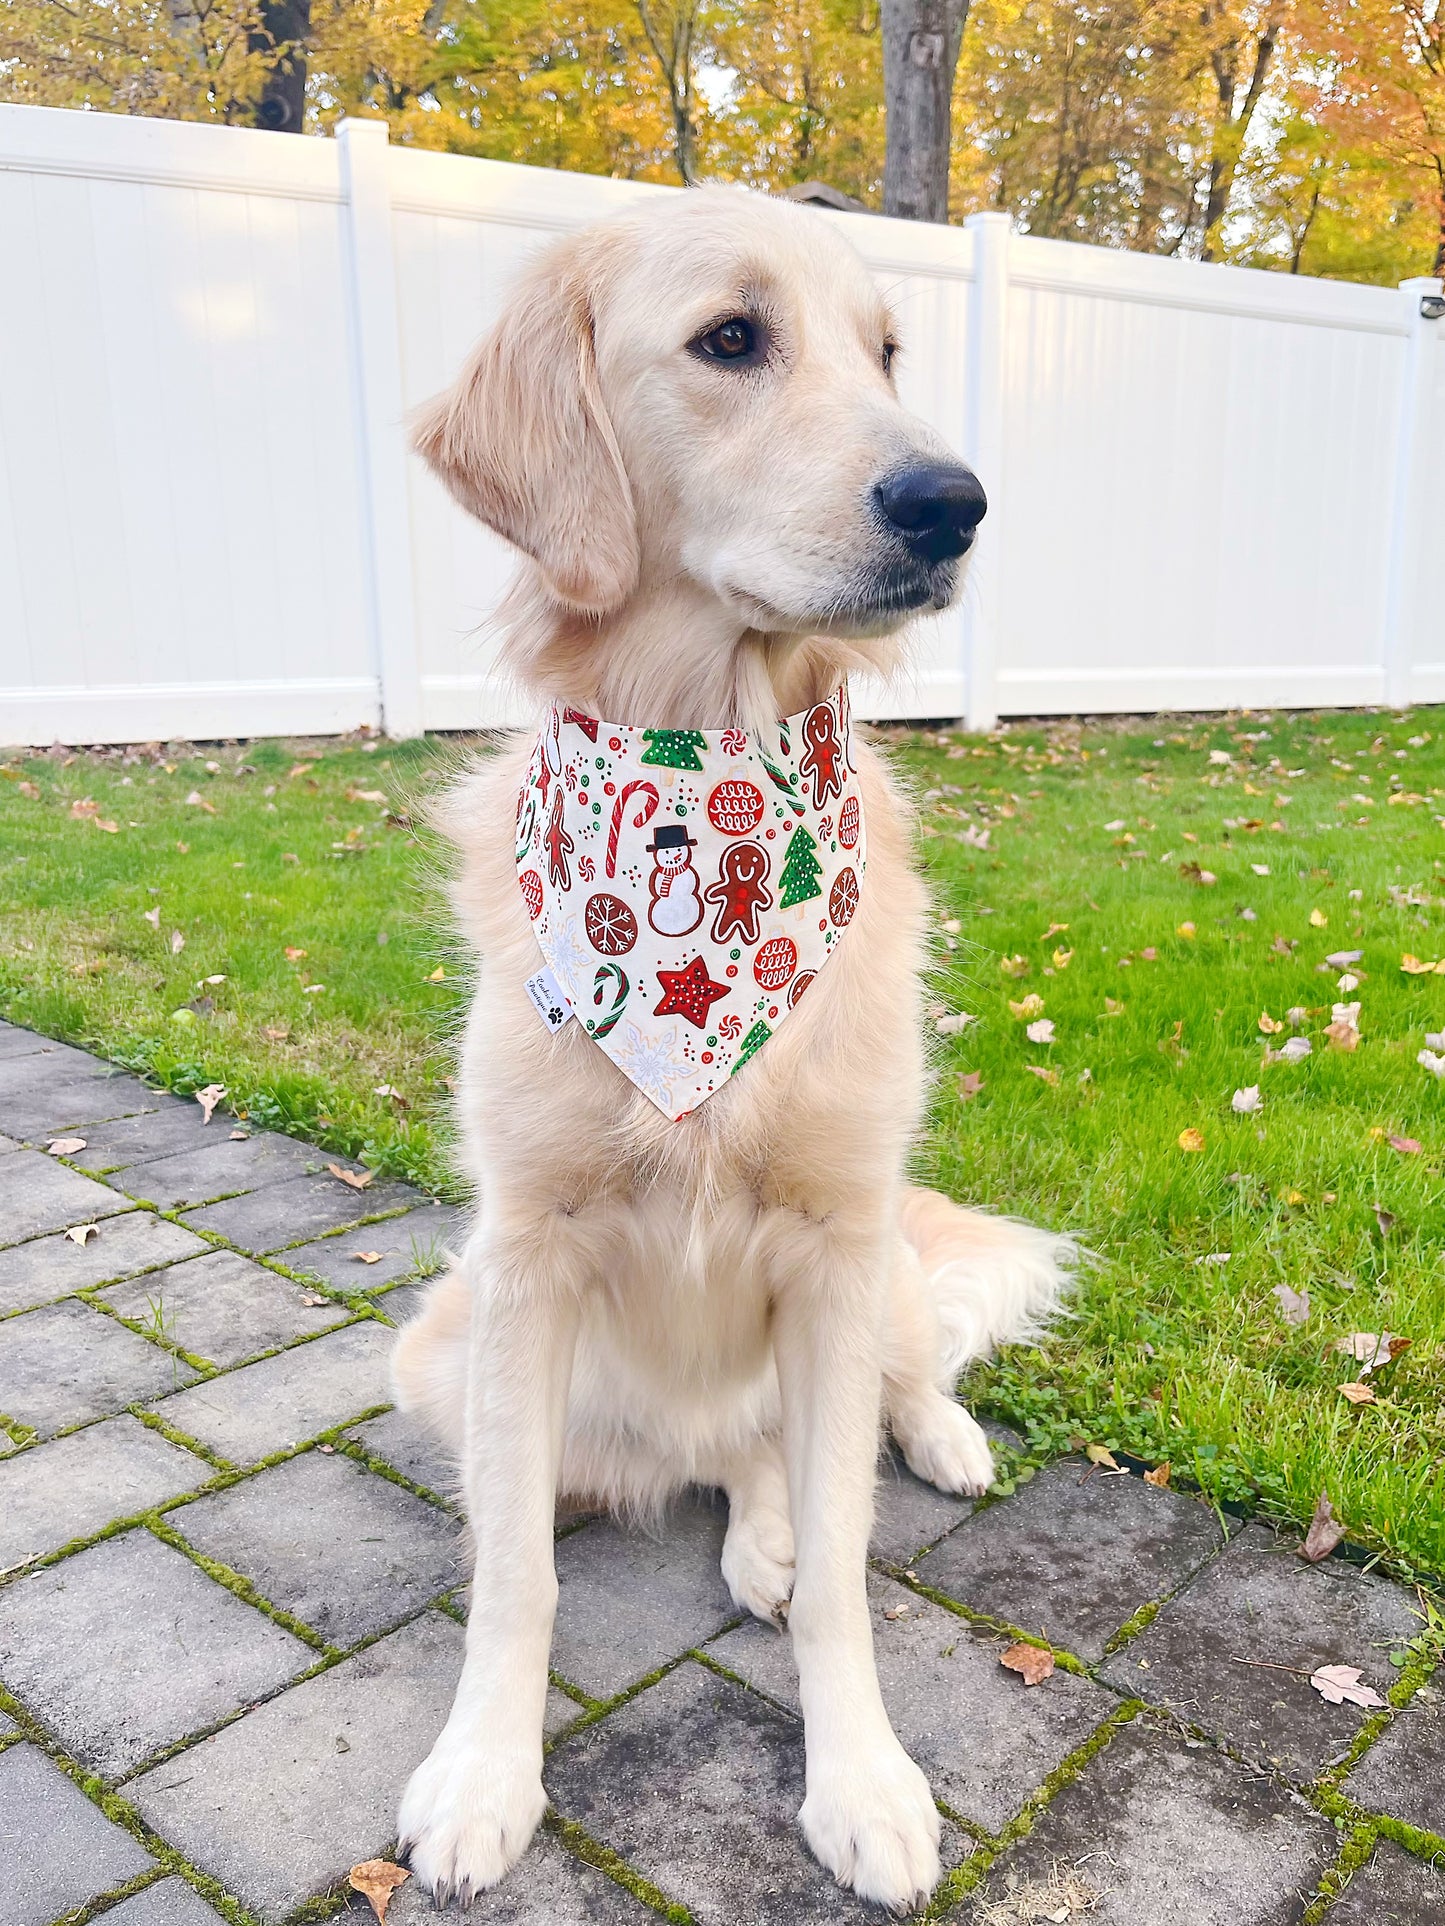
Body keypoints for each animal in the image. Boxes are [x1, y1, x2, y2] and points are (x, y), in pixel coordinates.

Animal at [391, 183, 1071, 1910]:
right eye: (731, 340)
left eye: (888, 352)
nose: (954, 501)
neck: (709, 783)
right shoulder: (524, 1258)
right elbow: (514, 1573)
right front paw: (482, 1771)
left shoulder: (831, 1240)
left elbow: (844, 1572)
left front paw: (865, 1782)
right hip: (436, 1349)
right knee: (743, 1458)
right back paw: (748, 1521)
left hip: (878, 1264)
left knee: (884, 1392)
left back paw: (930, 1446)